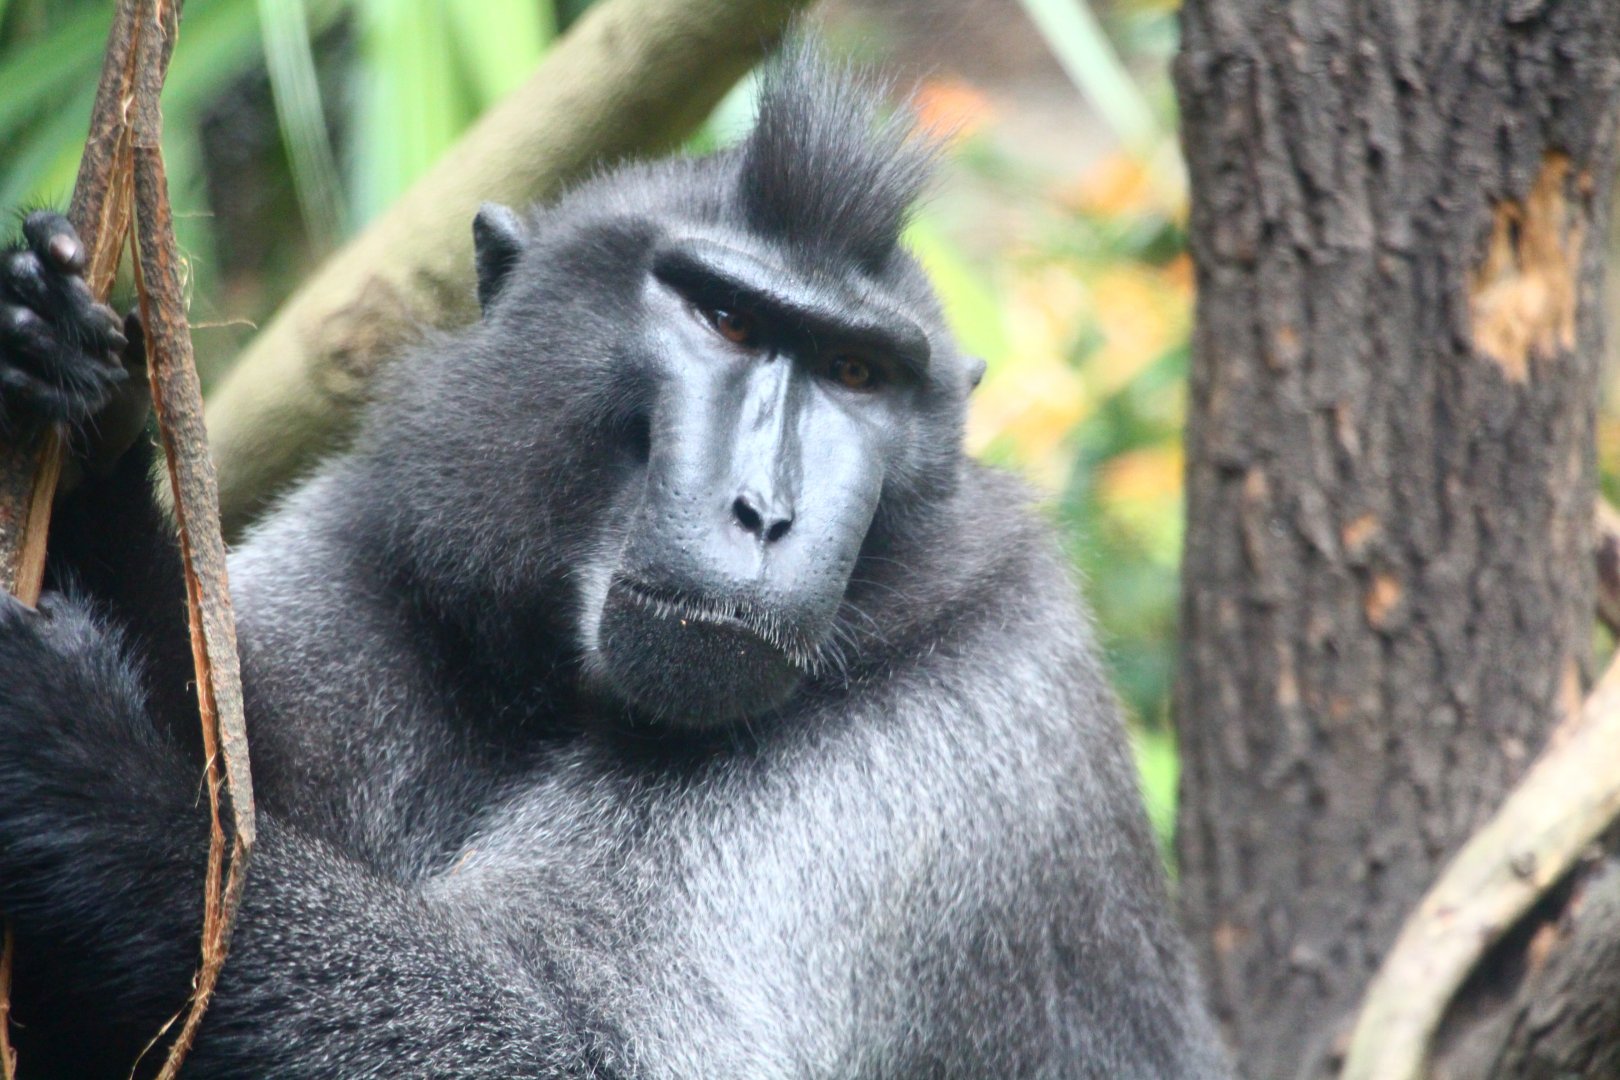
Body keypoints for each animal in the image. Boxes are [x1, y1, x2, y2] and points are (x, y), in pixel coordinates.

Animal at [0, 43, 1230, 1079]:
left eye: (856, 373)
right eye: (725, 320)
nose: (764, 515)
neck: (555, 691)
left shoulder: (954, 727)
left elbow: (597, 1051)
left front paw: (87, 764)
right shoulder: (376, 556)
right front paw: (62, 372)